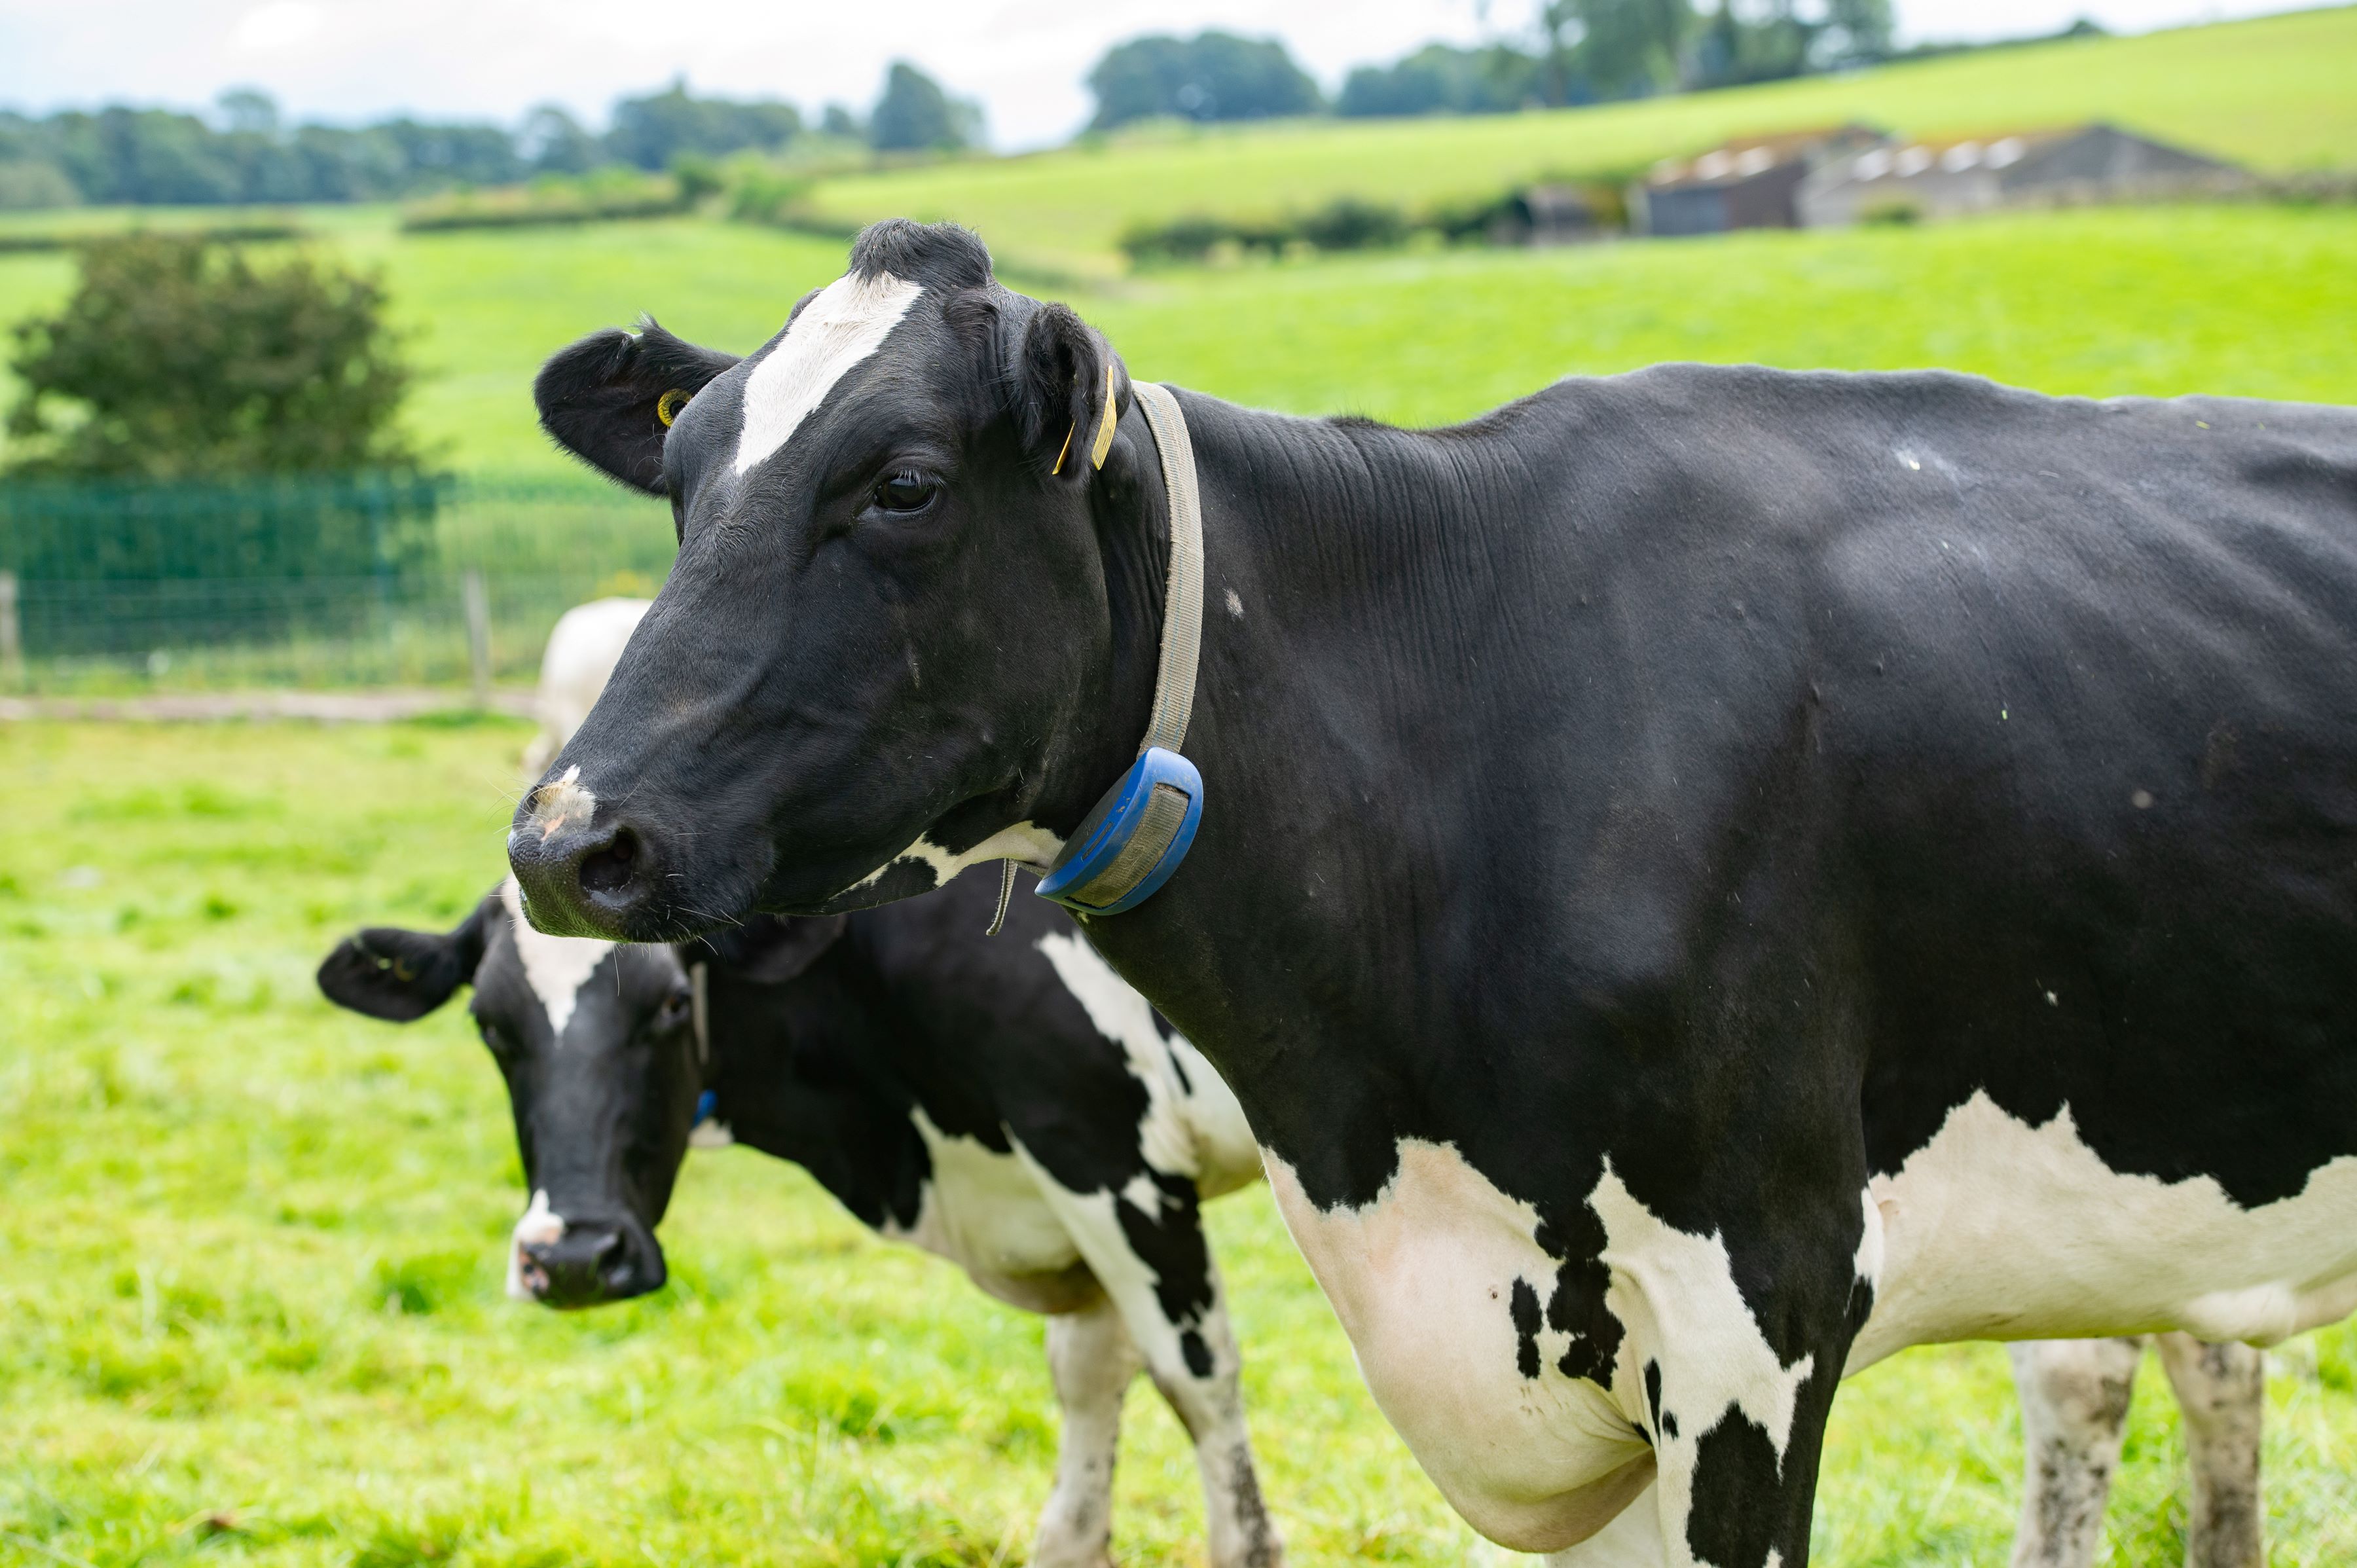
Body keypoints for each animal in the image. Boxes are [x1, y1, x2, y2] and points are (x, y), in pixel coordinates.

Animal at [316, 870, 1283, 1568]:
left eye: (671, 1003)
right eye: (488, 1022)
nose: (578, 1258)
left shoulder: (1107, 1156)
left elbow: (1198, 1385)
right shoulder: (1060, 1202)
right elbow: (1087, 1390)